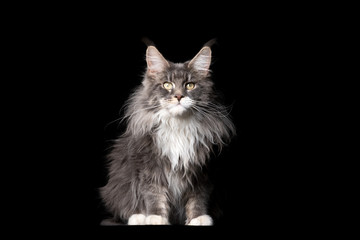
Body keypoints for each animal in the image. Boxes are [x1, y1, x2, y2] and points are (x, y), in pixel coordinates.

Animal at [100, 39, 238, 225]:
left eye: (190, 85)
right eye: (167, 85)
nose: (179, 96)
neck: (178, 126)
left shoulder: (202, 171)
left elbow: (198, 198)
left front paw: (198, 218)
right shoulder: (149, 166)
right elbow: (154, 195)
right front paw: (155, 218)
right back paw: (138, 217)